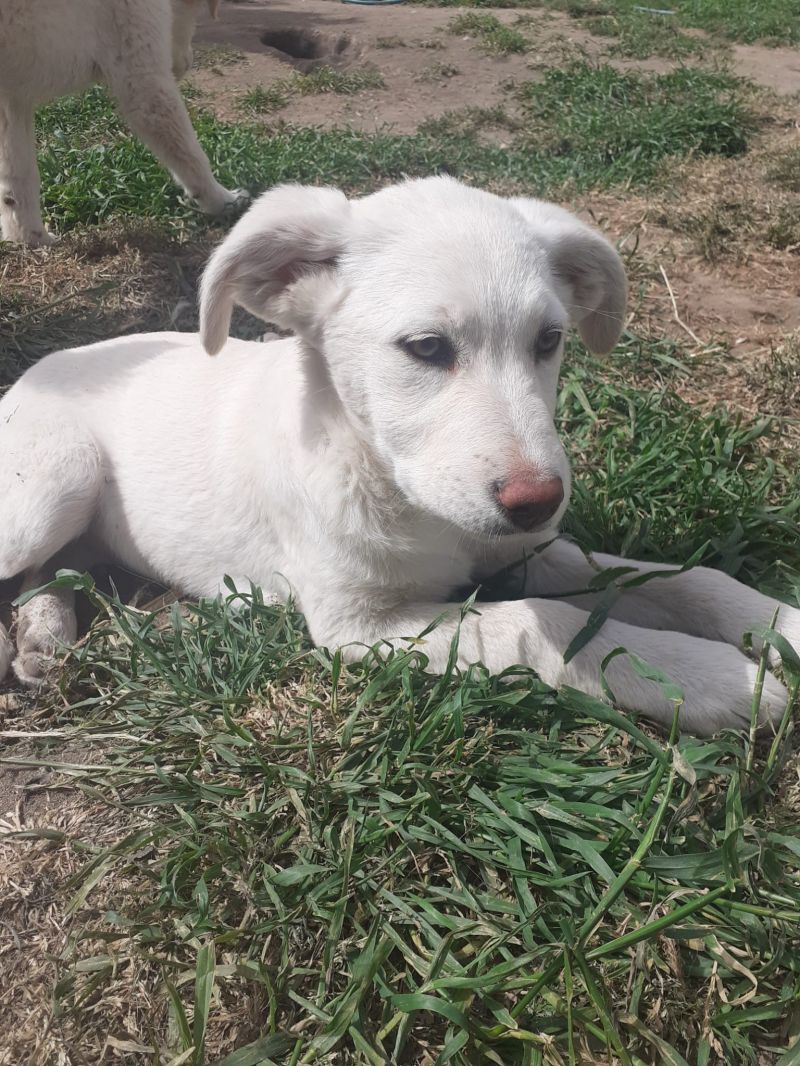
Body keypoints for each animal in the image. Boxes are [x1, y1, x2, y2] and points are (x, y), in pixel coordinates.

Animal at [0, 0, 246, 245]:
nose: (189, 63)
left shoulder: (13, 98)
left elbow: (18, 176)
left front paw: (30, 238)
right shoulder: (142, 79)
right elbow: (191, 155)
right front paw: (224, 201)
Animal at [1, 179, 800, 737]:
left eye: (549, 340)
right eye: (426, 348)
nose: (539, 500)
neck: (404, 498)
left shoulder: (527, 550)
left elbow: (682, 578)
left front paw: (777, 625)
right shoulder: (358, 627)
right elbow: (542, 623)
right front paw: (703, 677)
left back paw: (43, 634)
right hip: (53, 485)